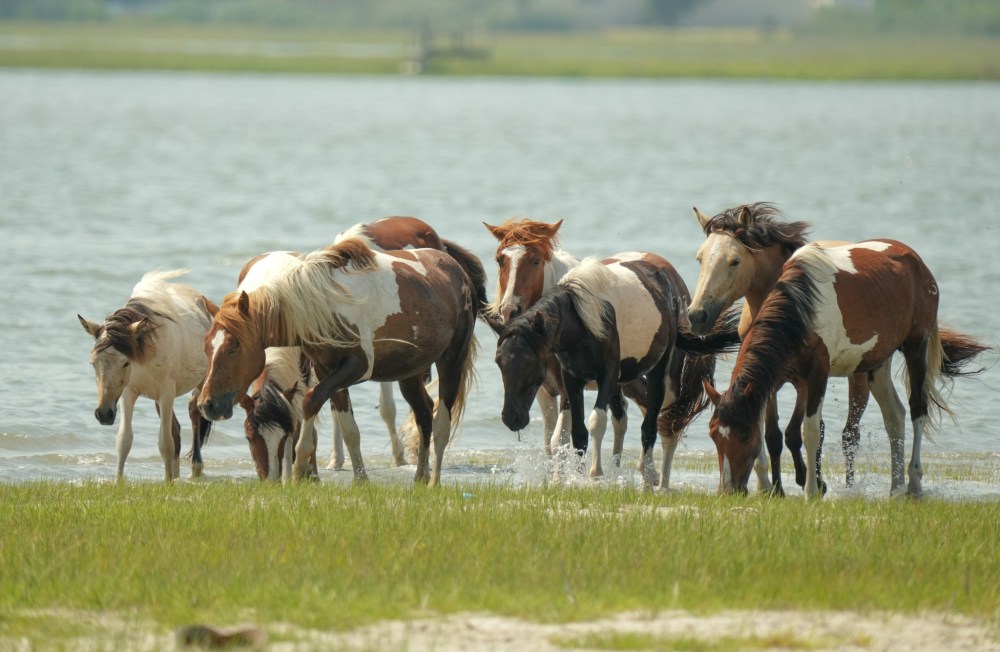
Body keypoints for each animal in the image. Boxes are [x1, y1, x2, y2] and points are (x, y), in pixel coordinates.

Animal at [78, 269, 216, 481]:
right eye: (93, 363)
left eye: (125, 362)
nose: (103, 414)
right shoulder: (128, 393)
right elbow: (124, 440)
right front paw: (118, 482)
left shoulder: (167, 392)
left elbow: (165, 442)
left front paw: (167, 483)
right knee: (176, 430)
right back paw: (176, 475)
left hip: (198, 384)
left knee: (195, 413)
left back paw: (195, 469)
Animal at [198, 238, 479, 486]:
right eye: (207, 346)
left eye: (233, 347)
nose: (207, 404)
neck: (322, 306)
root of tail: (453, 267)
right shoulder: (328, 372)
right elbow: (348, 429)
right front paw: (360, 480)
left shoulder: (355, 368)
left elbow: (310, 401)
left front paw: (299, 470)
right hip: (409, 372)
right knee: (424, 413)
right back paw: (420, 477)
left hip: (451, 362)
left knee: (441, 423)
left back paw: (434, 483)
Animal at [495, 253, 739, 489]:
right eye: (499, 361)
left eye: (529, 361)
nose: (511, 417)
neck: (581, 319)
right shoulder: (572, 379)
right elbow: (578, 432)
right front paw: (577, 478)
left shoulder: (608, 375)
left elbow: (597, 421)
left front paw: (595, 475)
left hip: (659, 374)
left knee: (658, 424)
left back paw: (655, 479)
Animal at [702, 240, 989, 497]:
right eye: (714, 435)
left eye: (743, 437)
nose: (728, 490)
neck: (802, 309)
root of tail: (916, 261)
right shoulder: (776, 380)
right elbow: (772, 430)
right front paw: (773, 487)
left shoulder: (817, 375)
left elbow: (809, 431)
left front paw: (811, 491)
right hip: (876, 363)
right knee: (894, 416)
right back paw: (895, 488)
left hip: (916, 346)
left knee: (918, 410)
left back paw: (914, 484)